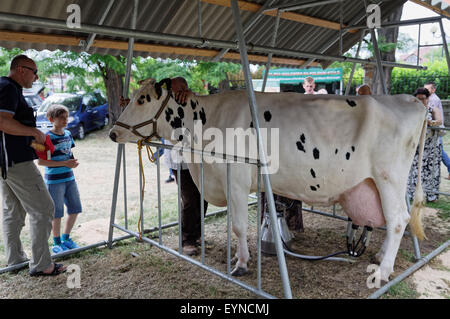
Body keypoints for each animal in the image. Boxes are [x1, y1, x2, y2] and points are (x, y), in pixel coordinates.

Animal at [110, 79, 428, 284]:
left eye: (142, 99)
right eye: (130, 97)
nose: (113, 132)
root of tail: (409, 99)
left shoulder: (236, 180)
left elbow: (238, 226)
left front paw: (240, 265)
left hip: (389, 177)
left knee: (397, 219)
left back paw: (383, 272)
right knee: (393, 220)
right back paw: (380, 256)